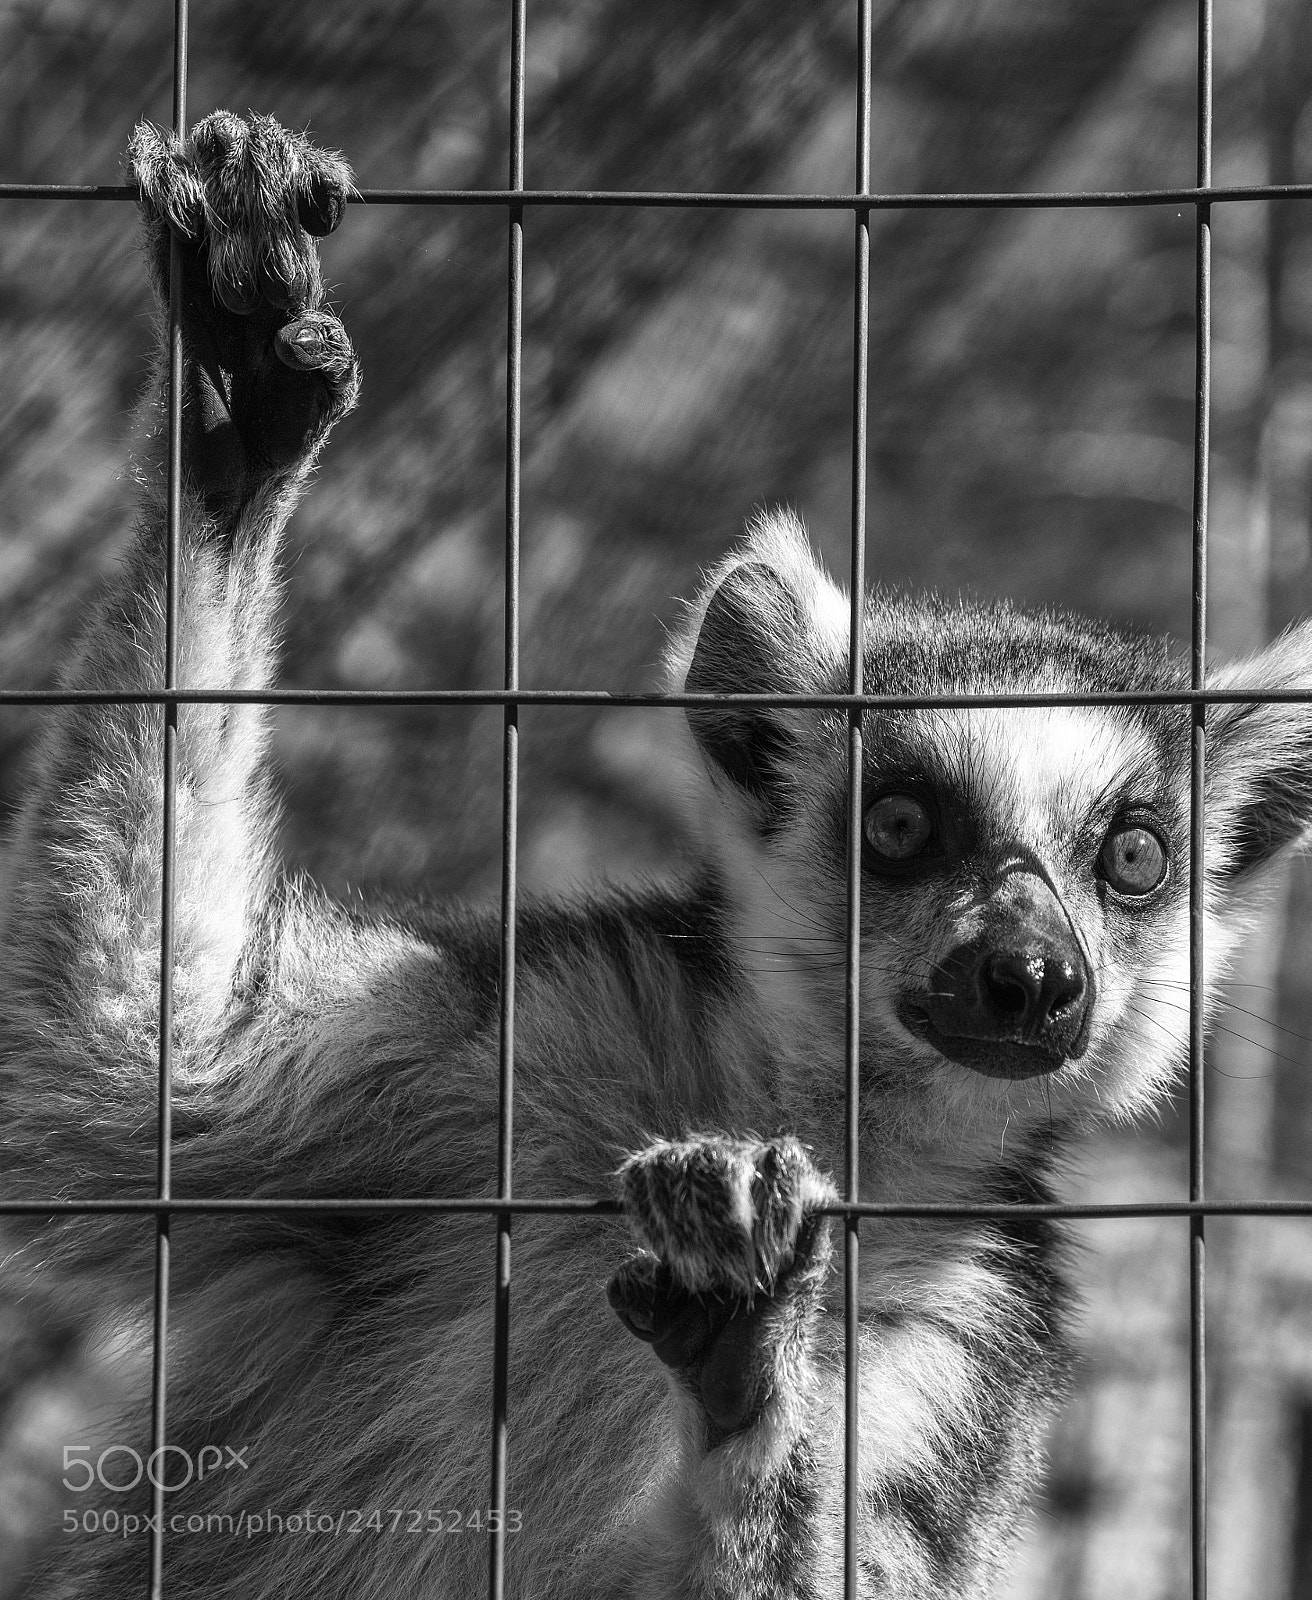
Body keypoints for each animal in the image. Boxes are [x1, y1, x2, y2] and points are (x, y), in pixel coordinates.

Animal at [4, 111, 1312, 1600]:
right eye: (901, 826)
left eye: (1135, 858)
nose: (1029, 976)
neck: (812, 1107)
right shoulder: (520, 1038)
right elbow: (133, 1078)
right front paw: (230, 408)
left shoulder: (977, 1337)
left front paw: (750, 1352)